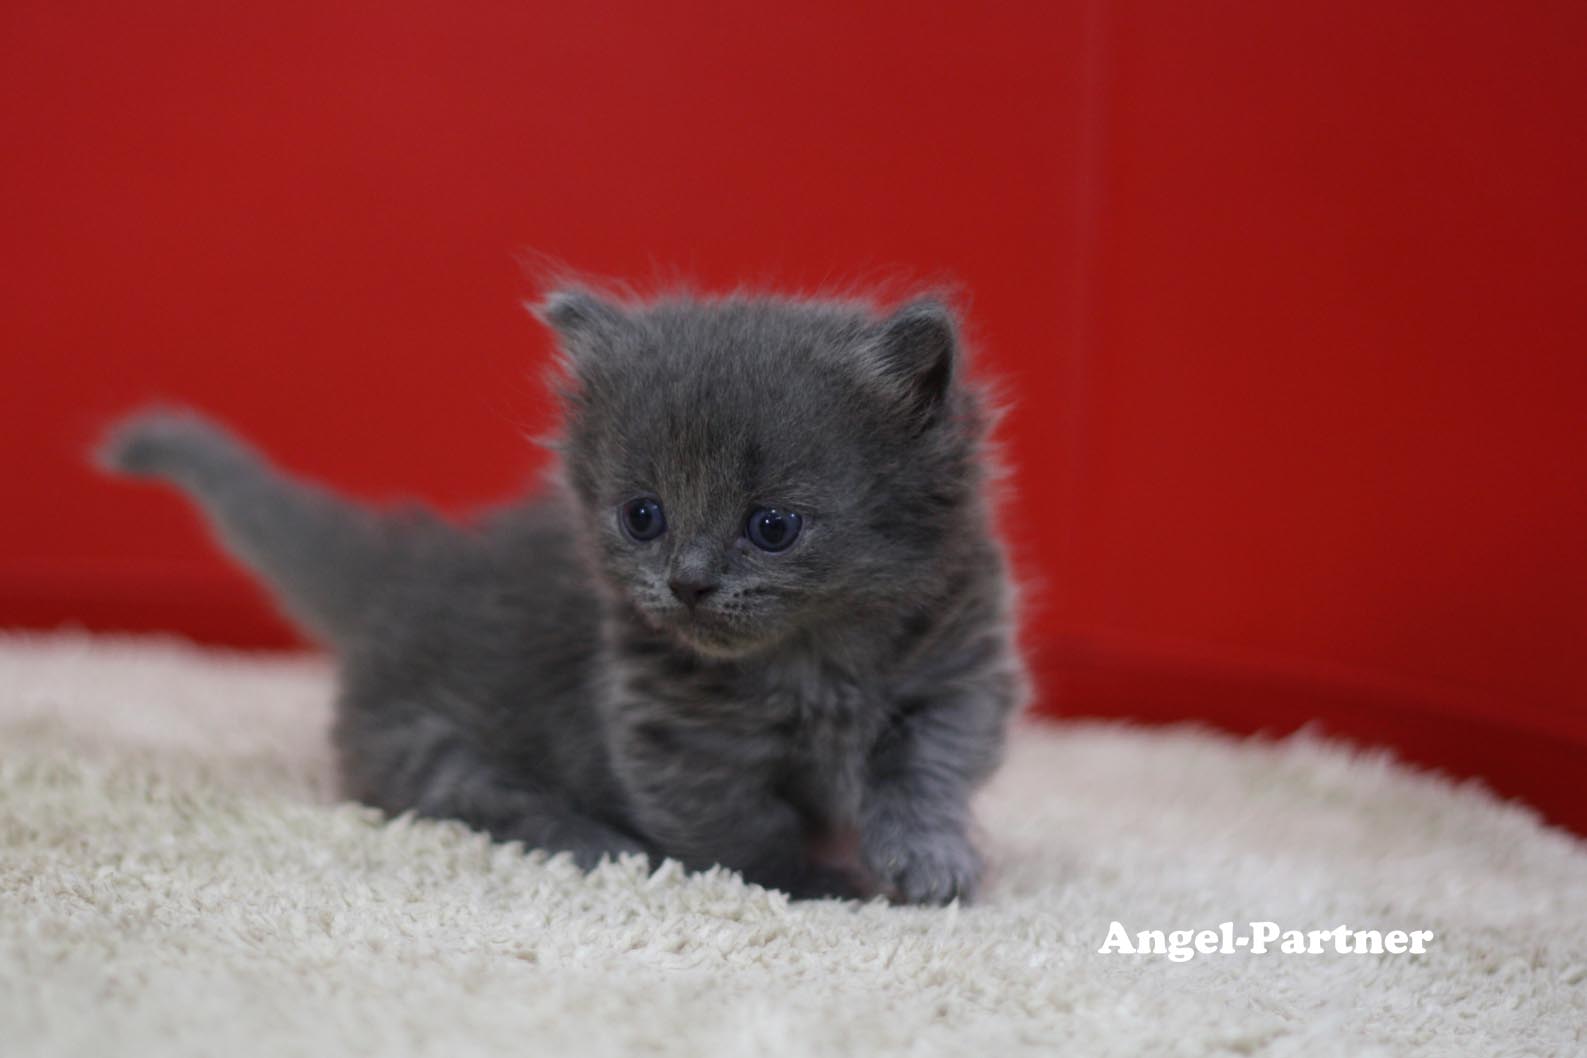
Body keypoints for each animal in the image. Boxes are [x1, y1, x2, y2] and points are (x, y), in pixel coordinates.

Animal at [108, 290, 1028, 900]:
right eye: (642, 516)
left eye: (773, 526)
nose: (688, 582)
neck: (814, 656)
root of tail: (415, 569)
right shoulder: (679, 738)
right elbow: (742, 830)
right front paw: (818, 882)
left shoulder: (953, 678)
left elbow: (926, 775)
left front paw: (929, 864)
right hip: (433, 745)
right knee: (487, 804)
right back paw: (601, 843)